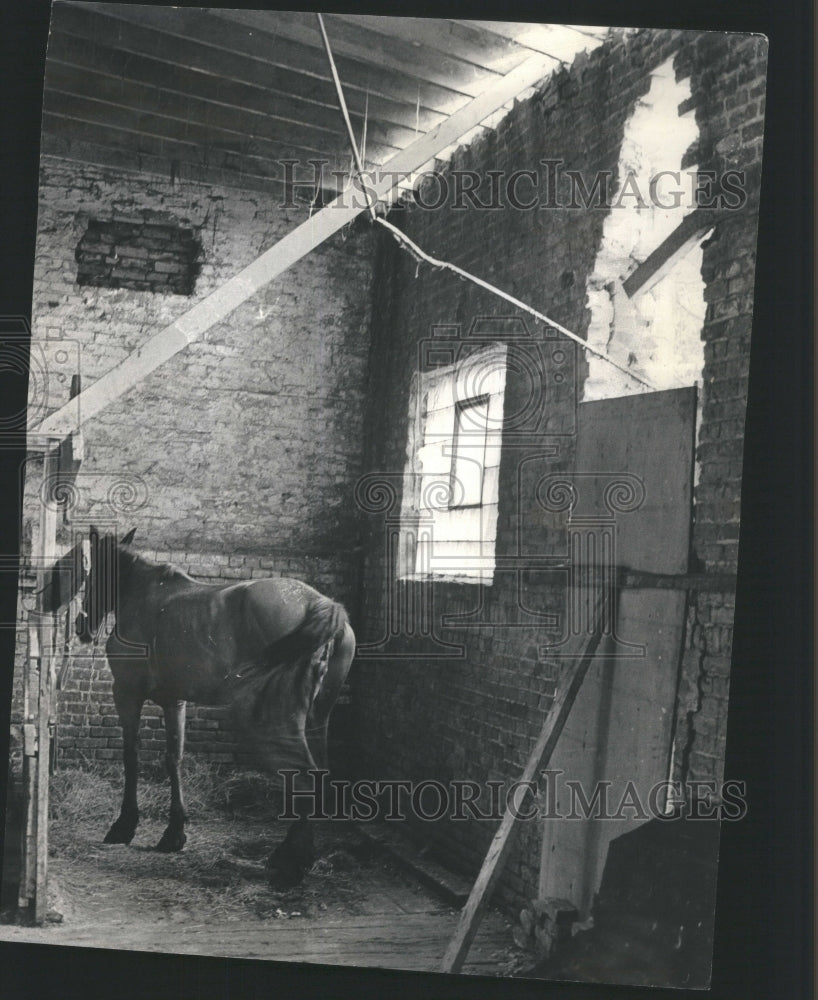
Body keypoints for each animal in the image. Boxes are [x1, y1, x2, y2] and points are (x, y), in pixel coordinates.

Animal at [75, 528, 354, 888]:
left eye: (90, 572)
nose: (81, 627)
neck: (144, 597)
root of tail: (322, 604)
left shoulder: (126, 692)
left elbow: (131, 757)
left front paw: (124, 825)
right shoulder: (174, 700)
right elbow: (174, 759)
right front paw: (174, 833)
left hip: (280, 720)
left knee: (306, 778)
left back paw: (291, 863)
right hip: (320, 716)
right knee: (319, 775)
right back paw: (293, 855)